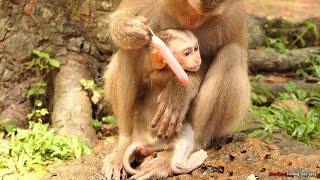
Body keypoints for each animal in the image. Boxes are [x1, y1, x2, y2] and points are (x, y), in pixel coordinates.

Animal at [122, 29, 205, 176]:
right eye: (187, 53)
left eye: (196, 48)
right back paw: (184, 163)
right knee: (186, 136)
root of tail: (140, 140)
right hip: (165, 138)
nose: (197, 59)